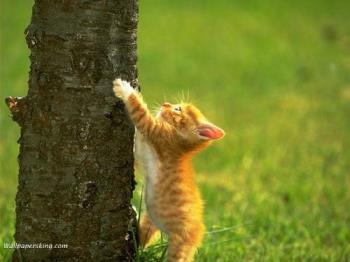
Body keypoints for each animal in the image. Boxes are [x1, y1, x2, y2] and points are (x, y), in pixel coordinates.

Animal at [113, 79, 226, 260]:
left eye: (178, 109)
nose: (166, 103)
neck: (179, 141)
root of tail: (200, 233)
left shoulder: (154, 131)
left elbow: (139, 111)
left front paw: (124, 88)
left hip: (179, 246)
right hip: (151, 221)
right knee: (142, 240)